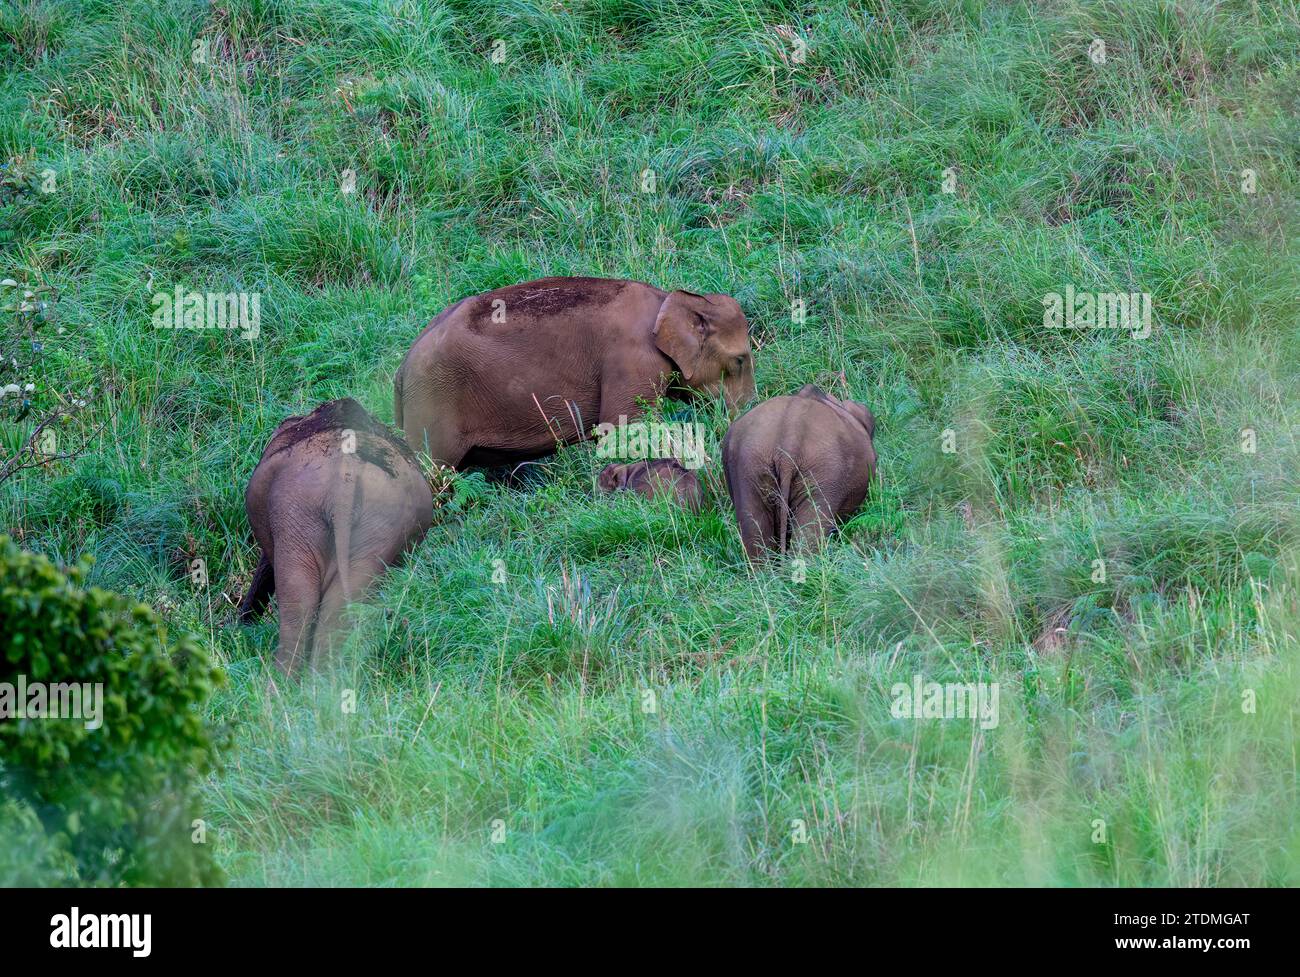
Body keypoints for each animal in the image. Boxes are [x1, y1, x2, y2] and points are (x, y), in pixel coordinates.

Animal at [235, 397, 431, 670]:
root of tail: (347, 470)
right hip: (380, 525)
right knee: (338, 609)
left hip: (298, 508)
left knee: (299, 602)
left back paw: (281, 680)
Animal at [390, 276, 759, 467]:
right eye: (740, 360)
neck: (665, 299)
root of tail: (401, 370)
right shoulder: (632, 359)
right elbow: (626, 427)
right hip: (432, 405)